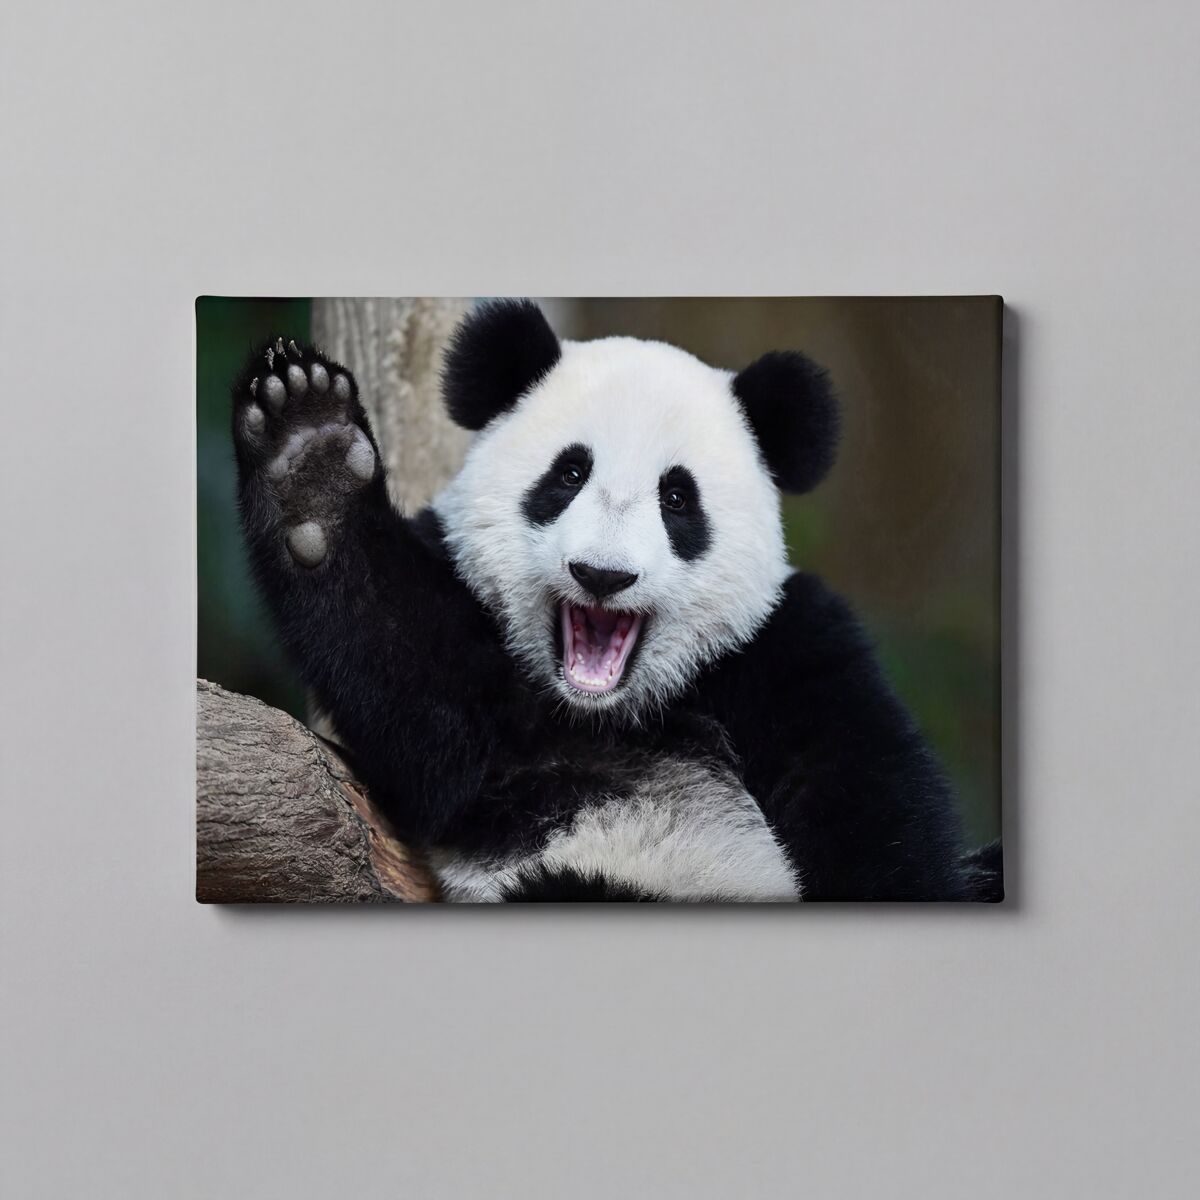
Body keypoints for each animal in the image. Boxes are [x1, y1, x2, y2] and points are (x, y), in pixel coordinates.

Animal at [232, 300, 1002, 902]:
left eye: (677, 498)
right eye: (569, 474)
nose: (602, 575)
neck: (611, 713)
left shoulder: (783, 645)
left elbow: (866, 796)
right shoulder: (485, 706)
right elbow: (418, 687)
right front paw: (312, 457)